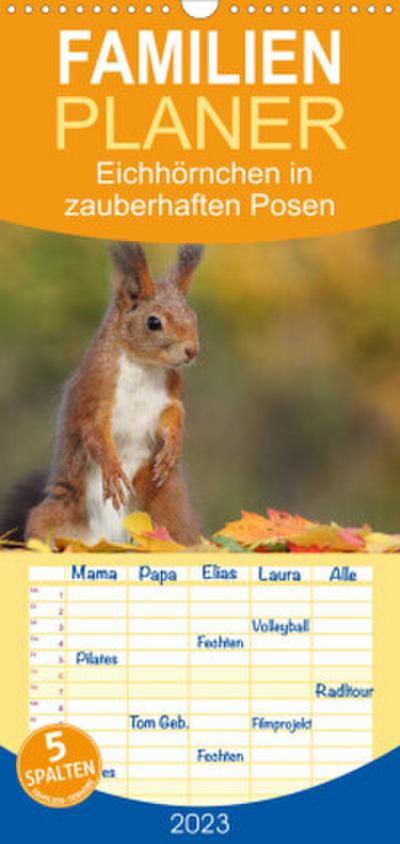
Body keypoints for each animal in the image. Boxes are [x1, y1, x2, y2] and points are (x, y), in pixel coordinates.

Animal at [20, 242, 203, 547]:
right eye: (154, 323)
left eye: (193, 315)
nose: (192, 351)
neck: (144, 365)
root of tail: (107, 540)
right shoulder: (95, 391)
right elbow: (93, 432)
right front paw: (113, 469)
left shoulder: (170, 394)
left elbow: (174, 415)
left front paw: (172, 448)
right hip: (54, 515)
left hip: (170, 510)